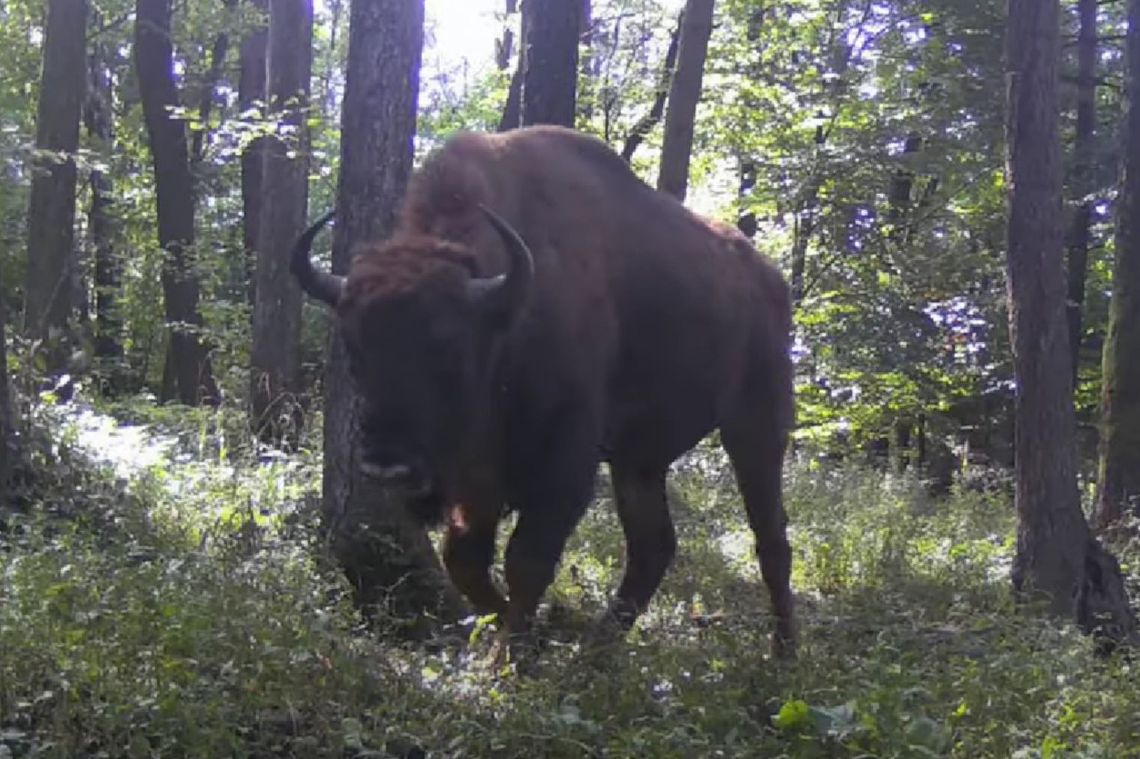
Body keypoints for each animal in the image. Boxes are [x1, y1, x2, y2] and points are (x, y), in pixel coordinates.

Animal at [289, 122, 798, 651]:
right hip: (640, 457)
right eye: (353, 347)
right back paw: (596, 651)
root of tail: (771, 281)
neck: (505, 316)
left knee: (771, 539)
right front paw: (524, 637)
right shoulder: (479, 479)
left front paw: (512, 653)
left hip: (756, 423)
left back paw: (784, 653)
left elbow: (526, 562)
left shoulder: (565, 461)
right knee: (653, 546)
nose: (388, 465)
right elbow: (465, 561)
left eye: (449, 347)